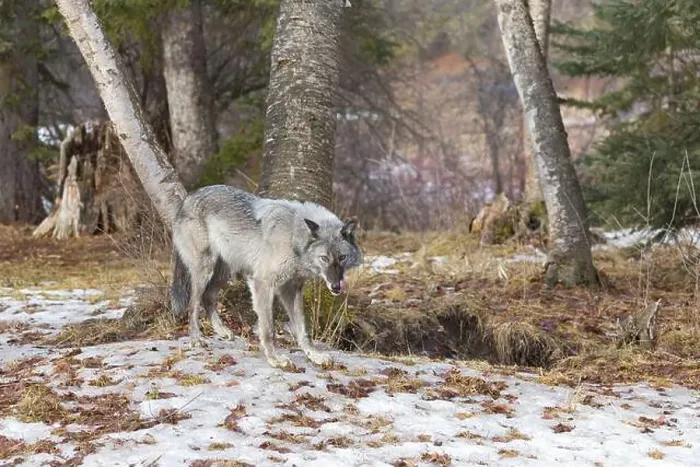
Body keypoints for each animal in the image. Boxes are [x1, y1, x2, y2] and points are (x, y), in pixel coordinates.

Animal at [170, 185, 363, 368]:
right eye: (324, 258)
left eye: (342, 258)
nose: (336, 287)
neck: (293, 237)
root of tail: (188, 198)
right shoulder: (263, 283)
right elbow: (268, 329)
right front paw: (275, 359)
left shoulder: (291, 289)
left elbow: (302, 330)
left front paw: (314, 355)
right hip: (205, 270)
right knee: (193, 304)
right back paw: (196, 338)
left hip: (225, 273)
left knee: (208, 297)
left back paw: (222, 330)